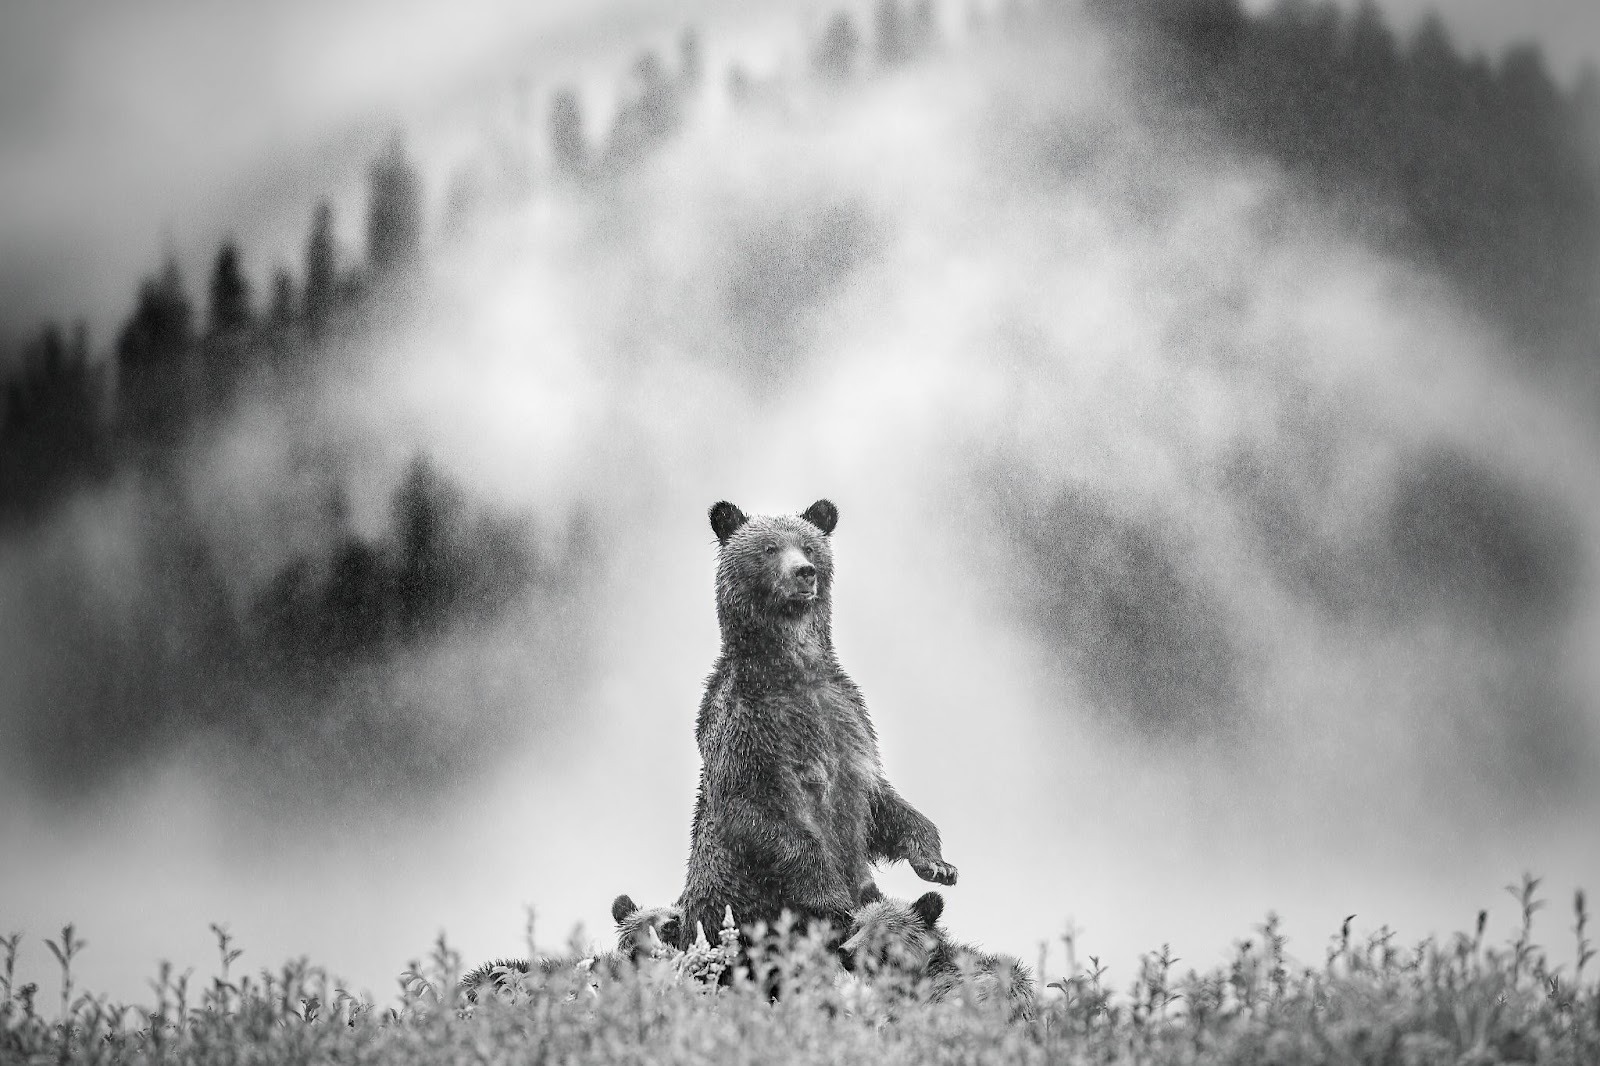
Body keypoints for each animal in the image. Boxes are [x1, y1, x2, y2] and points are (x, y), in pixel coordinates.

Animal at [677, 498, 956, 953]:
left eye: (809, 546)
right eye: (769, 548)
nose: (804, 571)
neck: (793, 670)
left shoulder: (846, 717)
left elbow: (878, 797)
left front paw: (936, 862)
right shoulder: (748, 727)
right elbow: (756, 811)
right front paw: (831, 896)